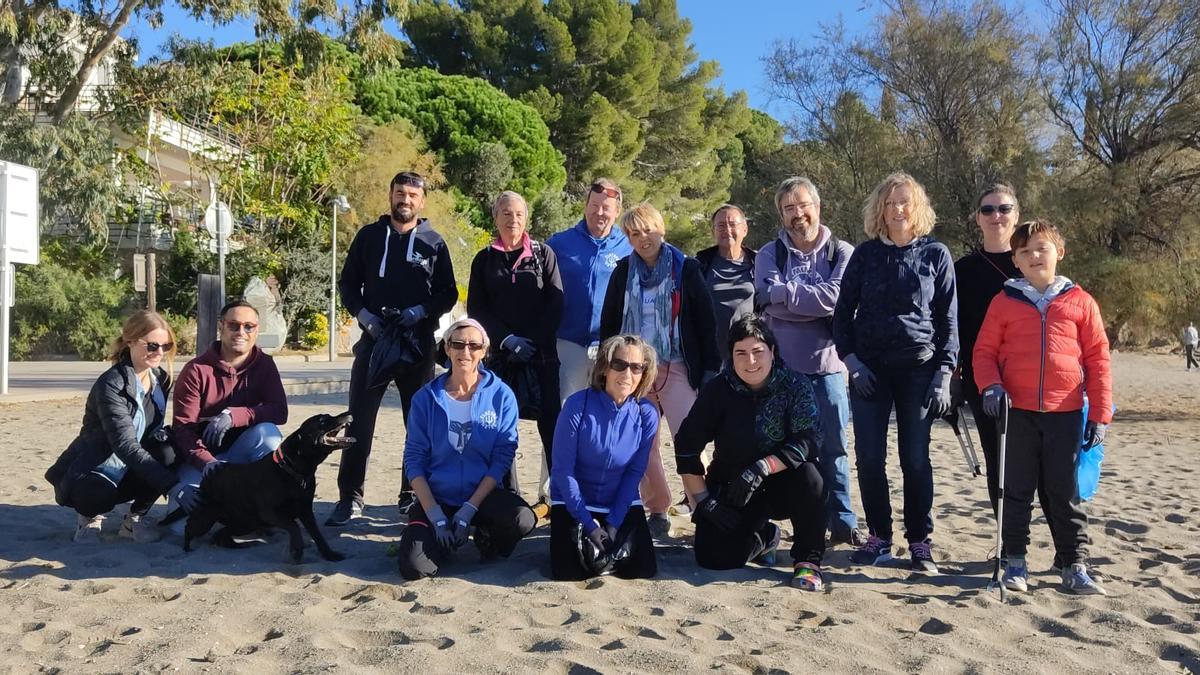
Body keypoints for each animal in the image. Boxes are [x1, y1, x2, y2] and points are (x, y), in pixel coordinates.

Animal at [180, 410, 352, 562]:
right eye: (321, 420)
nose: (348, 413)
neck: (291, 470)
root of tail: (209, 475)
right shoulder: (270, 512)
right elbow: (293, 525)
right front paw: (296, 550)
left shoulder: (306, 511)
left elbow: (318, 535)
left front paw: (330, 555)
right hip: (206, 518)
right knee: (189, 526)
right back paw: (187, 547)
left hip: (246, 522)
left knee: (221, 534)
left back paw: (241, 545)